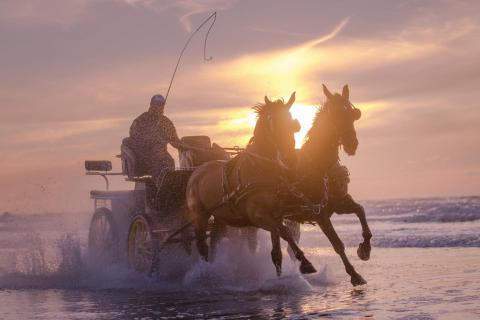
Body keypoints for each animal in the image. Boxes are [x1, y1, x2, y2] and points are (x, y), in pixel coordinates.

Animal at [186, 92, 316, 276]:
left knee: (215, 239)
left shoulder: (276, 214)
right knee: (201, 244)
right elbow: (283, 231)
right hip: (200, 215)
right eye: (273, 121)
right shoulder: (258, 216)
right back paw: (206, 271)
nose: (291, 159)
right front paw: (305, 263)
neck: (262, 167)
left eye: (293, 123)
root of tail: (196, 172)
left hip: (220, 216)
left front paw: (285, 274)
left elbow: (279, 248)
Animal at [284, 84, 372, 284]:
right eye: (336, 115)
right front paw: (354, 274)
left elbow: (360, 210)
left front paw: (365, 248)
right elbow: (337, 244)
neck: (319, 166)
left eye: (354, 115)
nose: (352, 144)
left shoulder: (339, 203)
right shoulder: (320, 214)